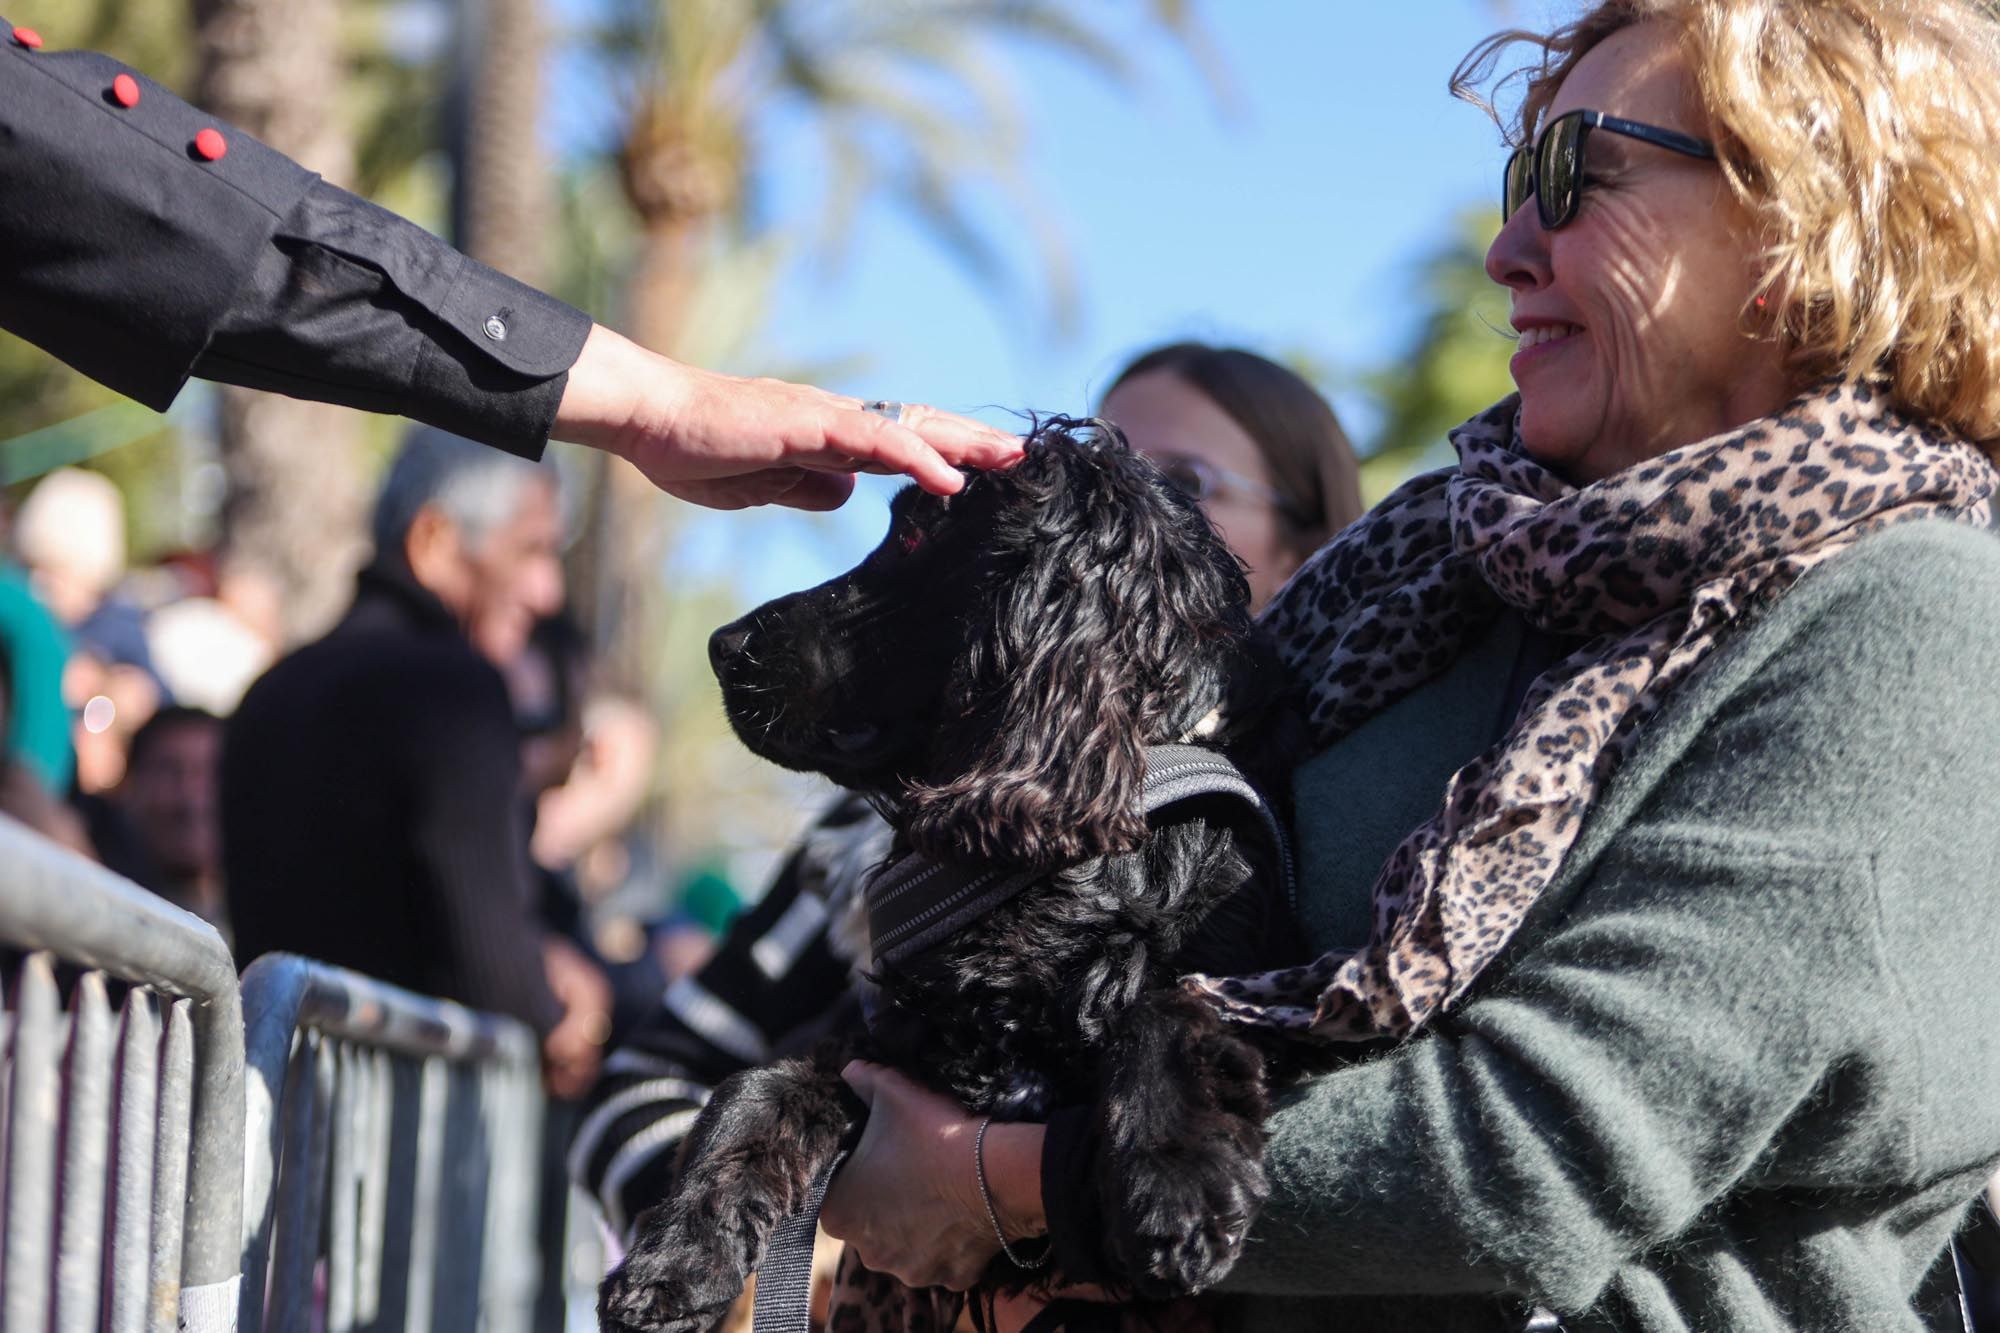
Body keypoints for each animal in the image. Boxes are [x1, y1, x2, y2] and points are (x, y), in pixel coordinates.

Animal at [600, 418, 1304, 1328]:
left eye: (911, 534)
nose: (722, 645)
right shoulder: (886, 1049)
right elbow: (754, 1086)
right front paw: (676, 1254)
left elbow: (1170, 1001)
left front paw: (1177, 1179)